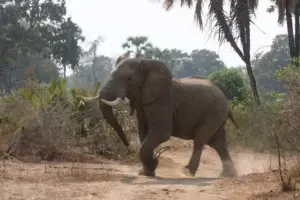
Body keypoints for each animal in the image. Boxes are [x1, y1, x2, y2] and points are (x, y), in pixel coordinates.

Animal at [79, 55, 239, 177]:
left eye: (129, 79)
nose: (127, 145)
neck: (145, 63)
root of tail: (226, 100)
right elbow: (143, 133)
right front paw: (147, 172)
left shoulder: (161, 102)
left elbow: (161, 133)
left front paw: (153, 164)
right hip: (217, 115)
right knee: (217, 142)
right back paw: (227, 175)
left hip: (213, 113)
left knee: (200, 139)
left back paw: (187, 172)